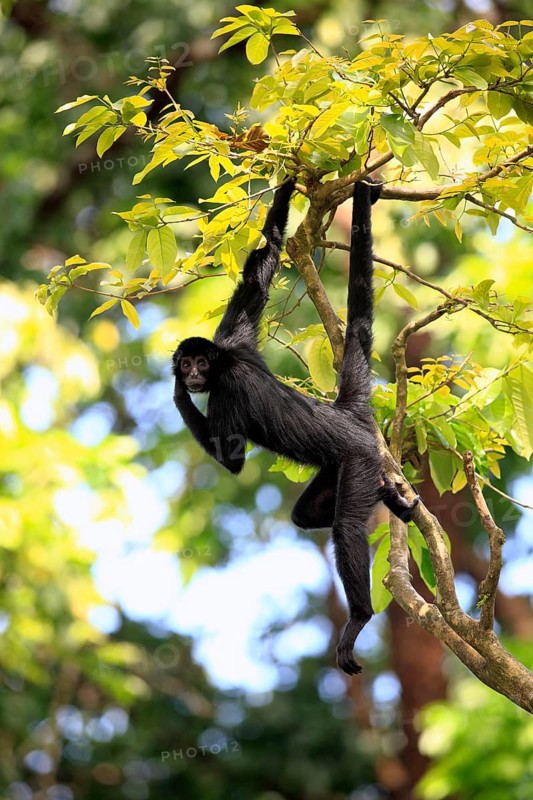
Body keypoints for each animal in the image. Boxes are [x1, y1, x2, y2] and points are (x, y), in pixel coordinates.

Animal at [172, 177, 418, 674]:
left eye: (200, 363)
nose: (189, 373)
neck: (226, 361)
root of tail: (346, 414)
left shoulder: (227, 385)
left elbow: (232, 459)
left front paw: (178, 394)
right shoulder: (235, 337)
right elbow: (260, 266)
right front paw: (285, 187)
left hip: (359, 457)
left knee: (346, 525)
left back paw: (359, 617)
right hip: (341, 467)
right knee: (305, 515)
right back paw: (390, 497)